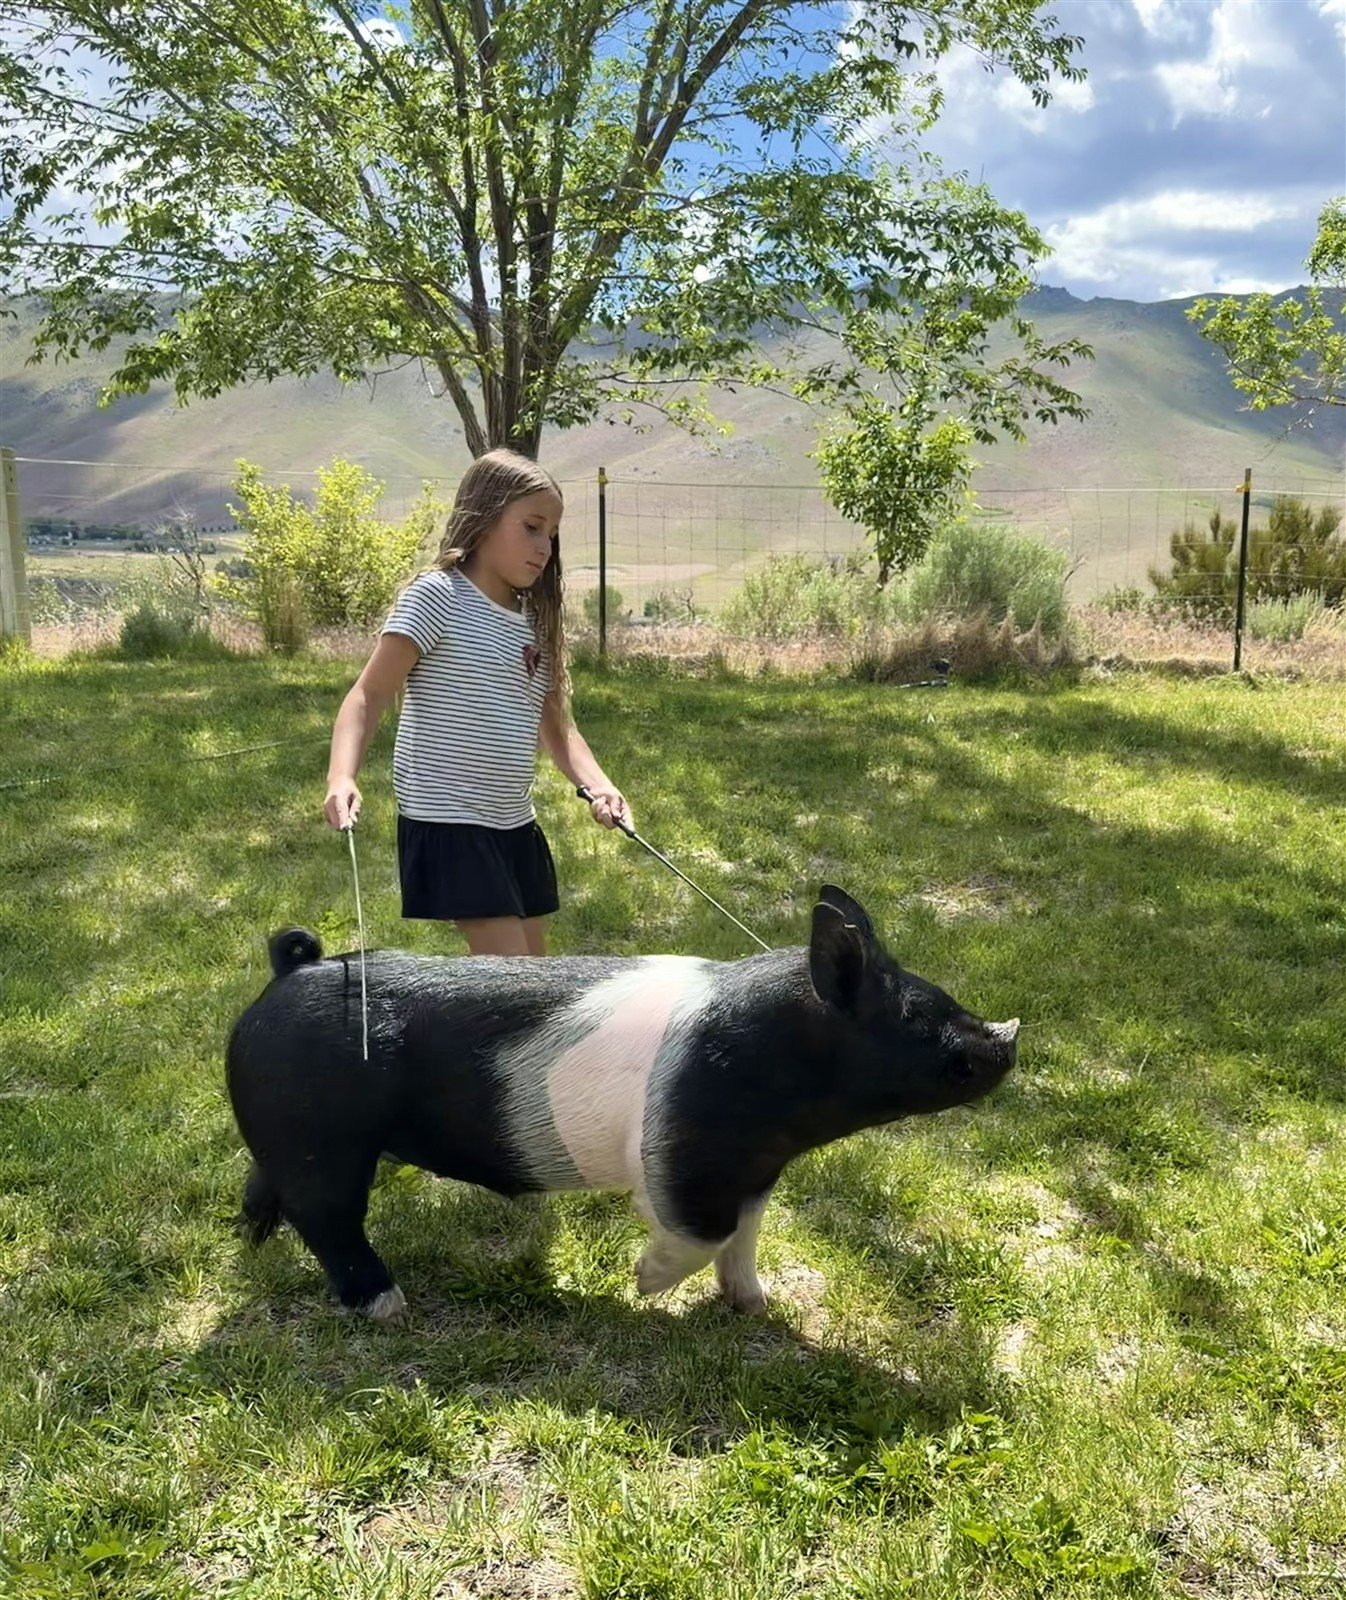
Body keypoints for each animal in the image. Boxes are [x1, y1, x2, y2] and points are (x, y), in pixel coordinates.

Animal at [225, 885, 1018, 1321]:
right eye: (915, 1016)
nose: (1006, 1038)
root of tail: (288, 973)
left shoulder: (755, 1167)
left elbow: (746, 1233)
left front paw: (756, 1305)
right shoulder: (683, 1152)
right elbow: (704, 1232)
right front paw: (643, 1286)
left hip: (288, 1136)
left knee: (271, 1185)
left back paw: (253, 1241)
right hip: (324, 1140)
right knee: (329, 1218)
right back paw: (388, 1307)